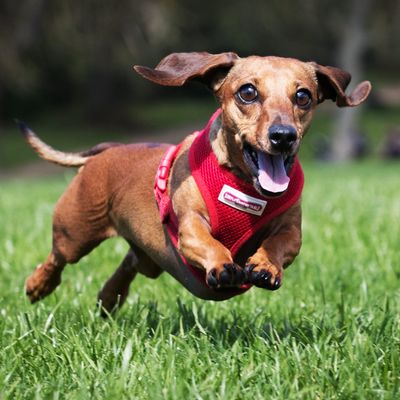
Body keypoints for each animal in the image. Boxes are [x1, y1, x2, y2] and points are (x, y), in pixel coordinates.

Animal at [18, 52, 370, 312]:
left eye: (303, 96)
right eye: (248, 92)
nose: (283, 136)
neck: (244, 186)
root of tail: (110, 149)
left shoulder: (291, 231)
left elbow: (280, 243)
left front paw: (265, 264)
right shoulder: (190, 227)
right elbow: (209, 242)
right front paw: (224, 265)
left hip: (149, 259)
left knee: (130, 263)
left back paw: (109, 297)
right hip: (75, 233)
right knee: (57, 258)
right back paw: (38, 285)